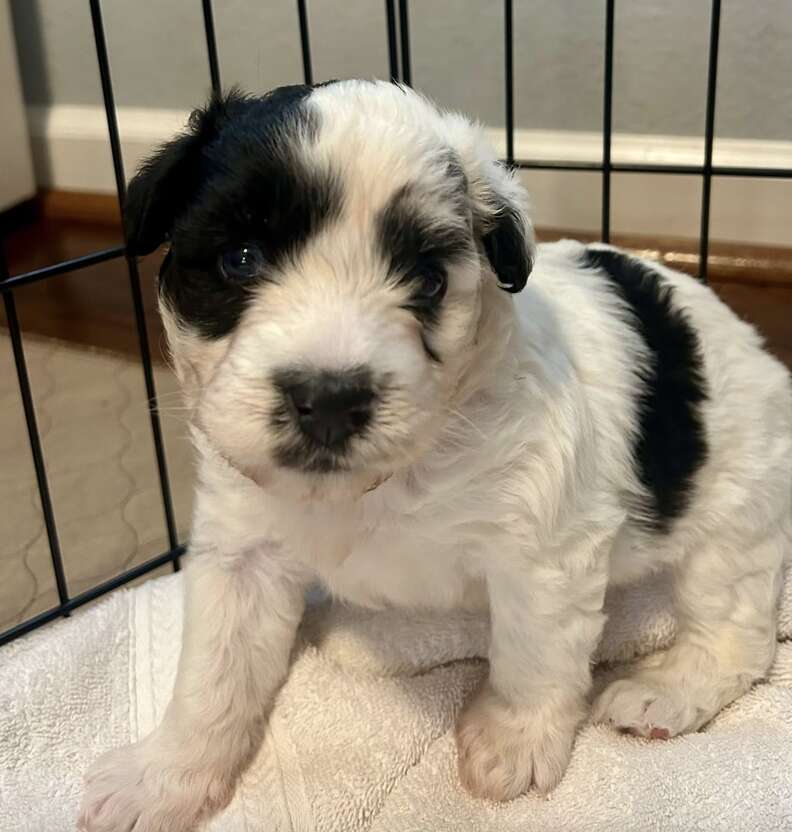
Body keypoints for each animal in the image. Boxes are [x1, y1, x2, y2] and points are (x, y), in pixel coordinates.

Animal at [77, 79, 788, 832]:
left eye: (427, 280)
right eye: (240, 258)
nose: (329, 399)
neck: (381, 481)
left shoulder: (545, 546)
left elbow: (534, 651)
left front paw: (513, 739)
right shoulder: (243, 549)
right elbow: (213, 673)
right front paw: (162, 777)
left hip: (736, 506)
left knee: (737, 629)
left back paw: (665, 691)